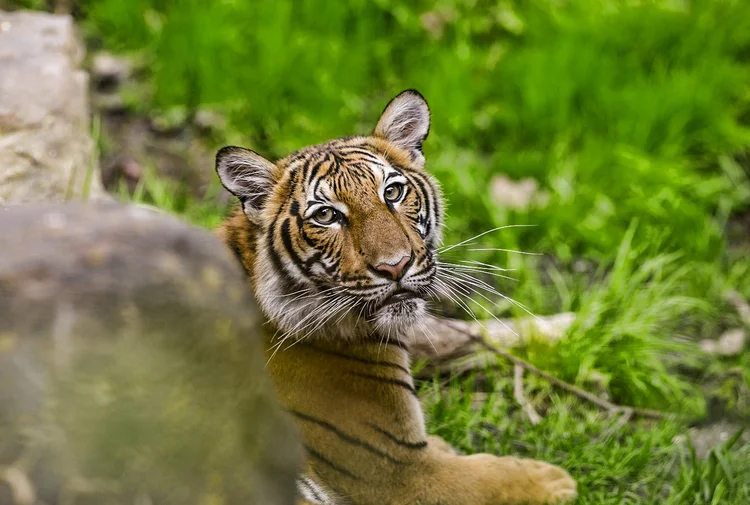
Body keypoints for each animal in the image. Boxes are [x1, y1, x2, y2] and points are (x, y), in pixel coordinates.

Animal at [214, 88, 580, 502]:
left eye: (392, 191)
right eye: (325, 216)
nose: (396, 266)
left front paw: (568, 330)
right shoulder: (399, 471)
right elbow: (490, 478)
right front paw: (554, 480)